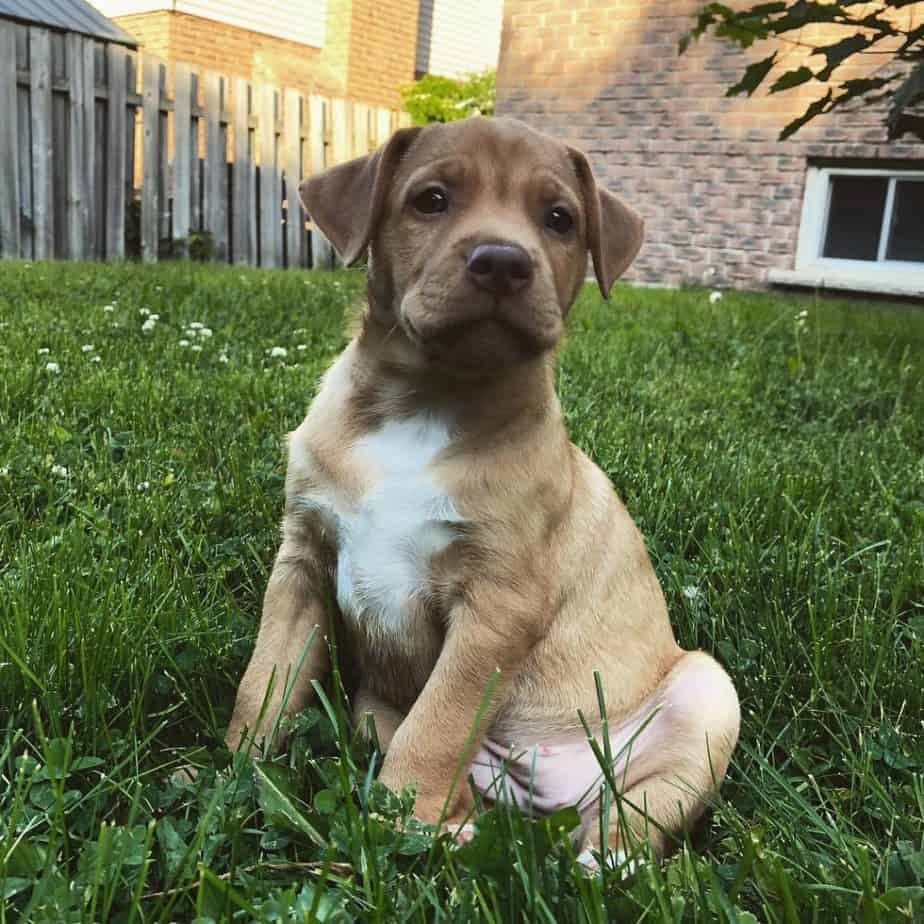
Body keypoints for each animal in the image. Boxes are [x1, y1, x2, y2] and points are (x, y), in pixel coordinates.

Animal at [227, 117, 740, 868]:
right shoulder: (302, 565)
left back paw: (596, 859)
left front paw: (403, 820)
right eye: (431, 200)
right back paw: (460, 822)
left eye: (559, 219)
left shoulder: (497, 606)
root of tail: (547, 797)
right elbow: (267, 679)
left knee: (637, 812)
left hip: (708, 697)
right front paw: (236, 769)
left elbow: (441, 720)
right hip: (374, 709)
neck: (427, 403)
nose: (502, 261)